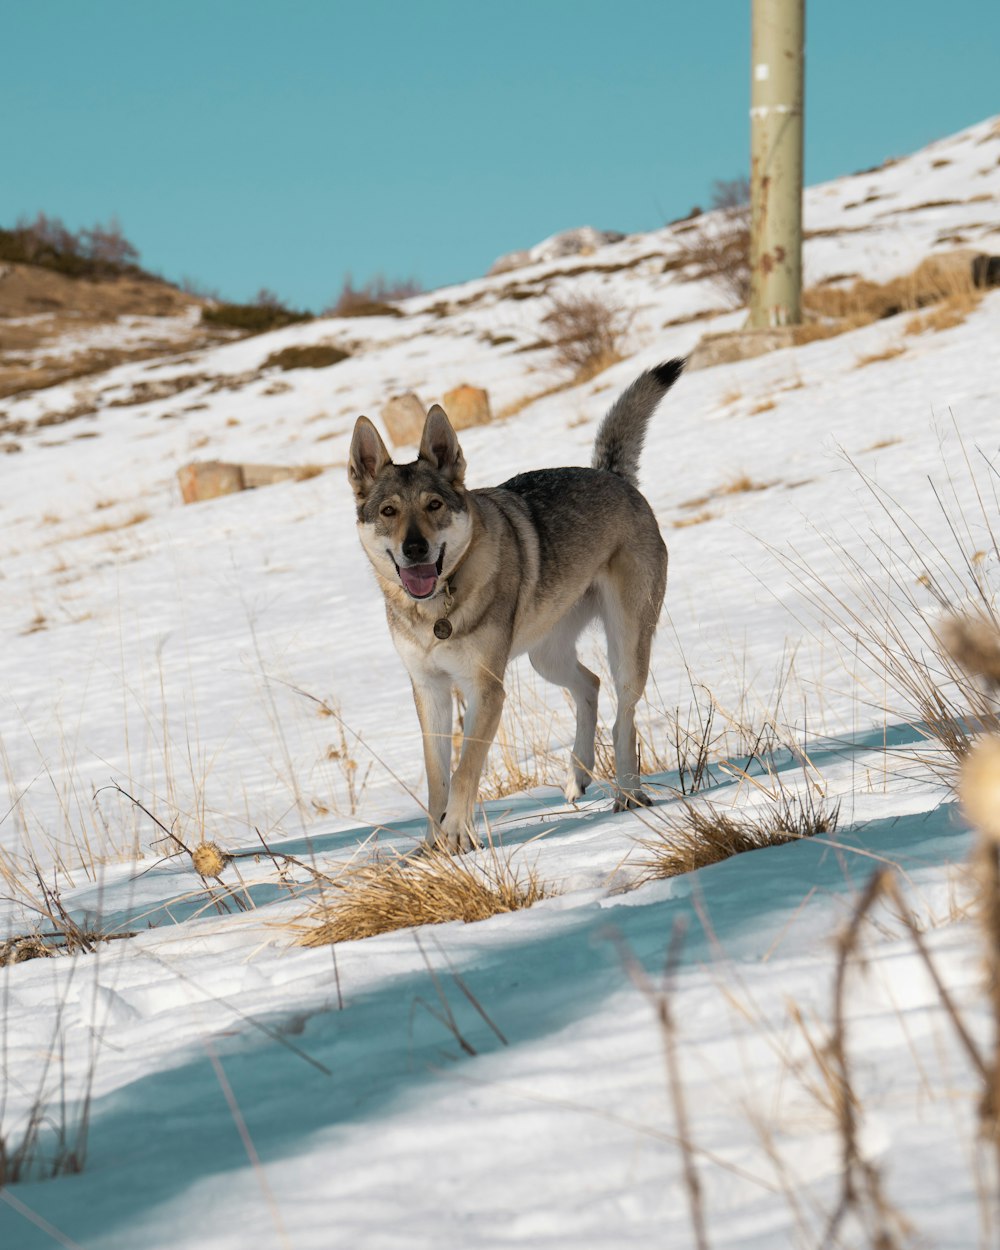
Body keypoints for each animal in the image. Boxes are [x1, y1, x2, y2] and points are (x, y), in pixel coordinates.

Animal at [347, 362, 685, 850]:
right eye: (389, 511)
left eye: (434, 505)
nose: (415, 549)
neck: (436, 612)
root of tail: (613, 476)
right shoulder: (429, 691)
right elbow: (437, 778)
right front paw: (432, 845)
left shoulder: (485, 690)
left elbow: (466, 770)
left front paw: (457, 836)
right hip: (546, 657)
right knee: (589, 684)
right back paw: (578, 775)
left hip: (627, 646)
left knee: (624, 717)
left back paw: (628, 794)